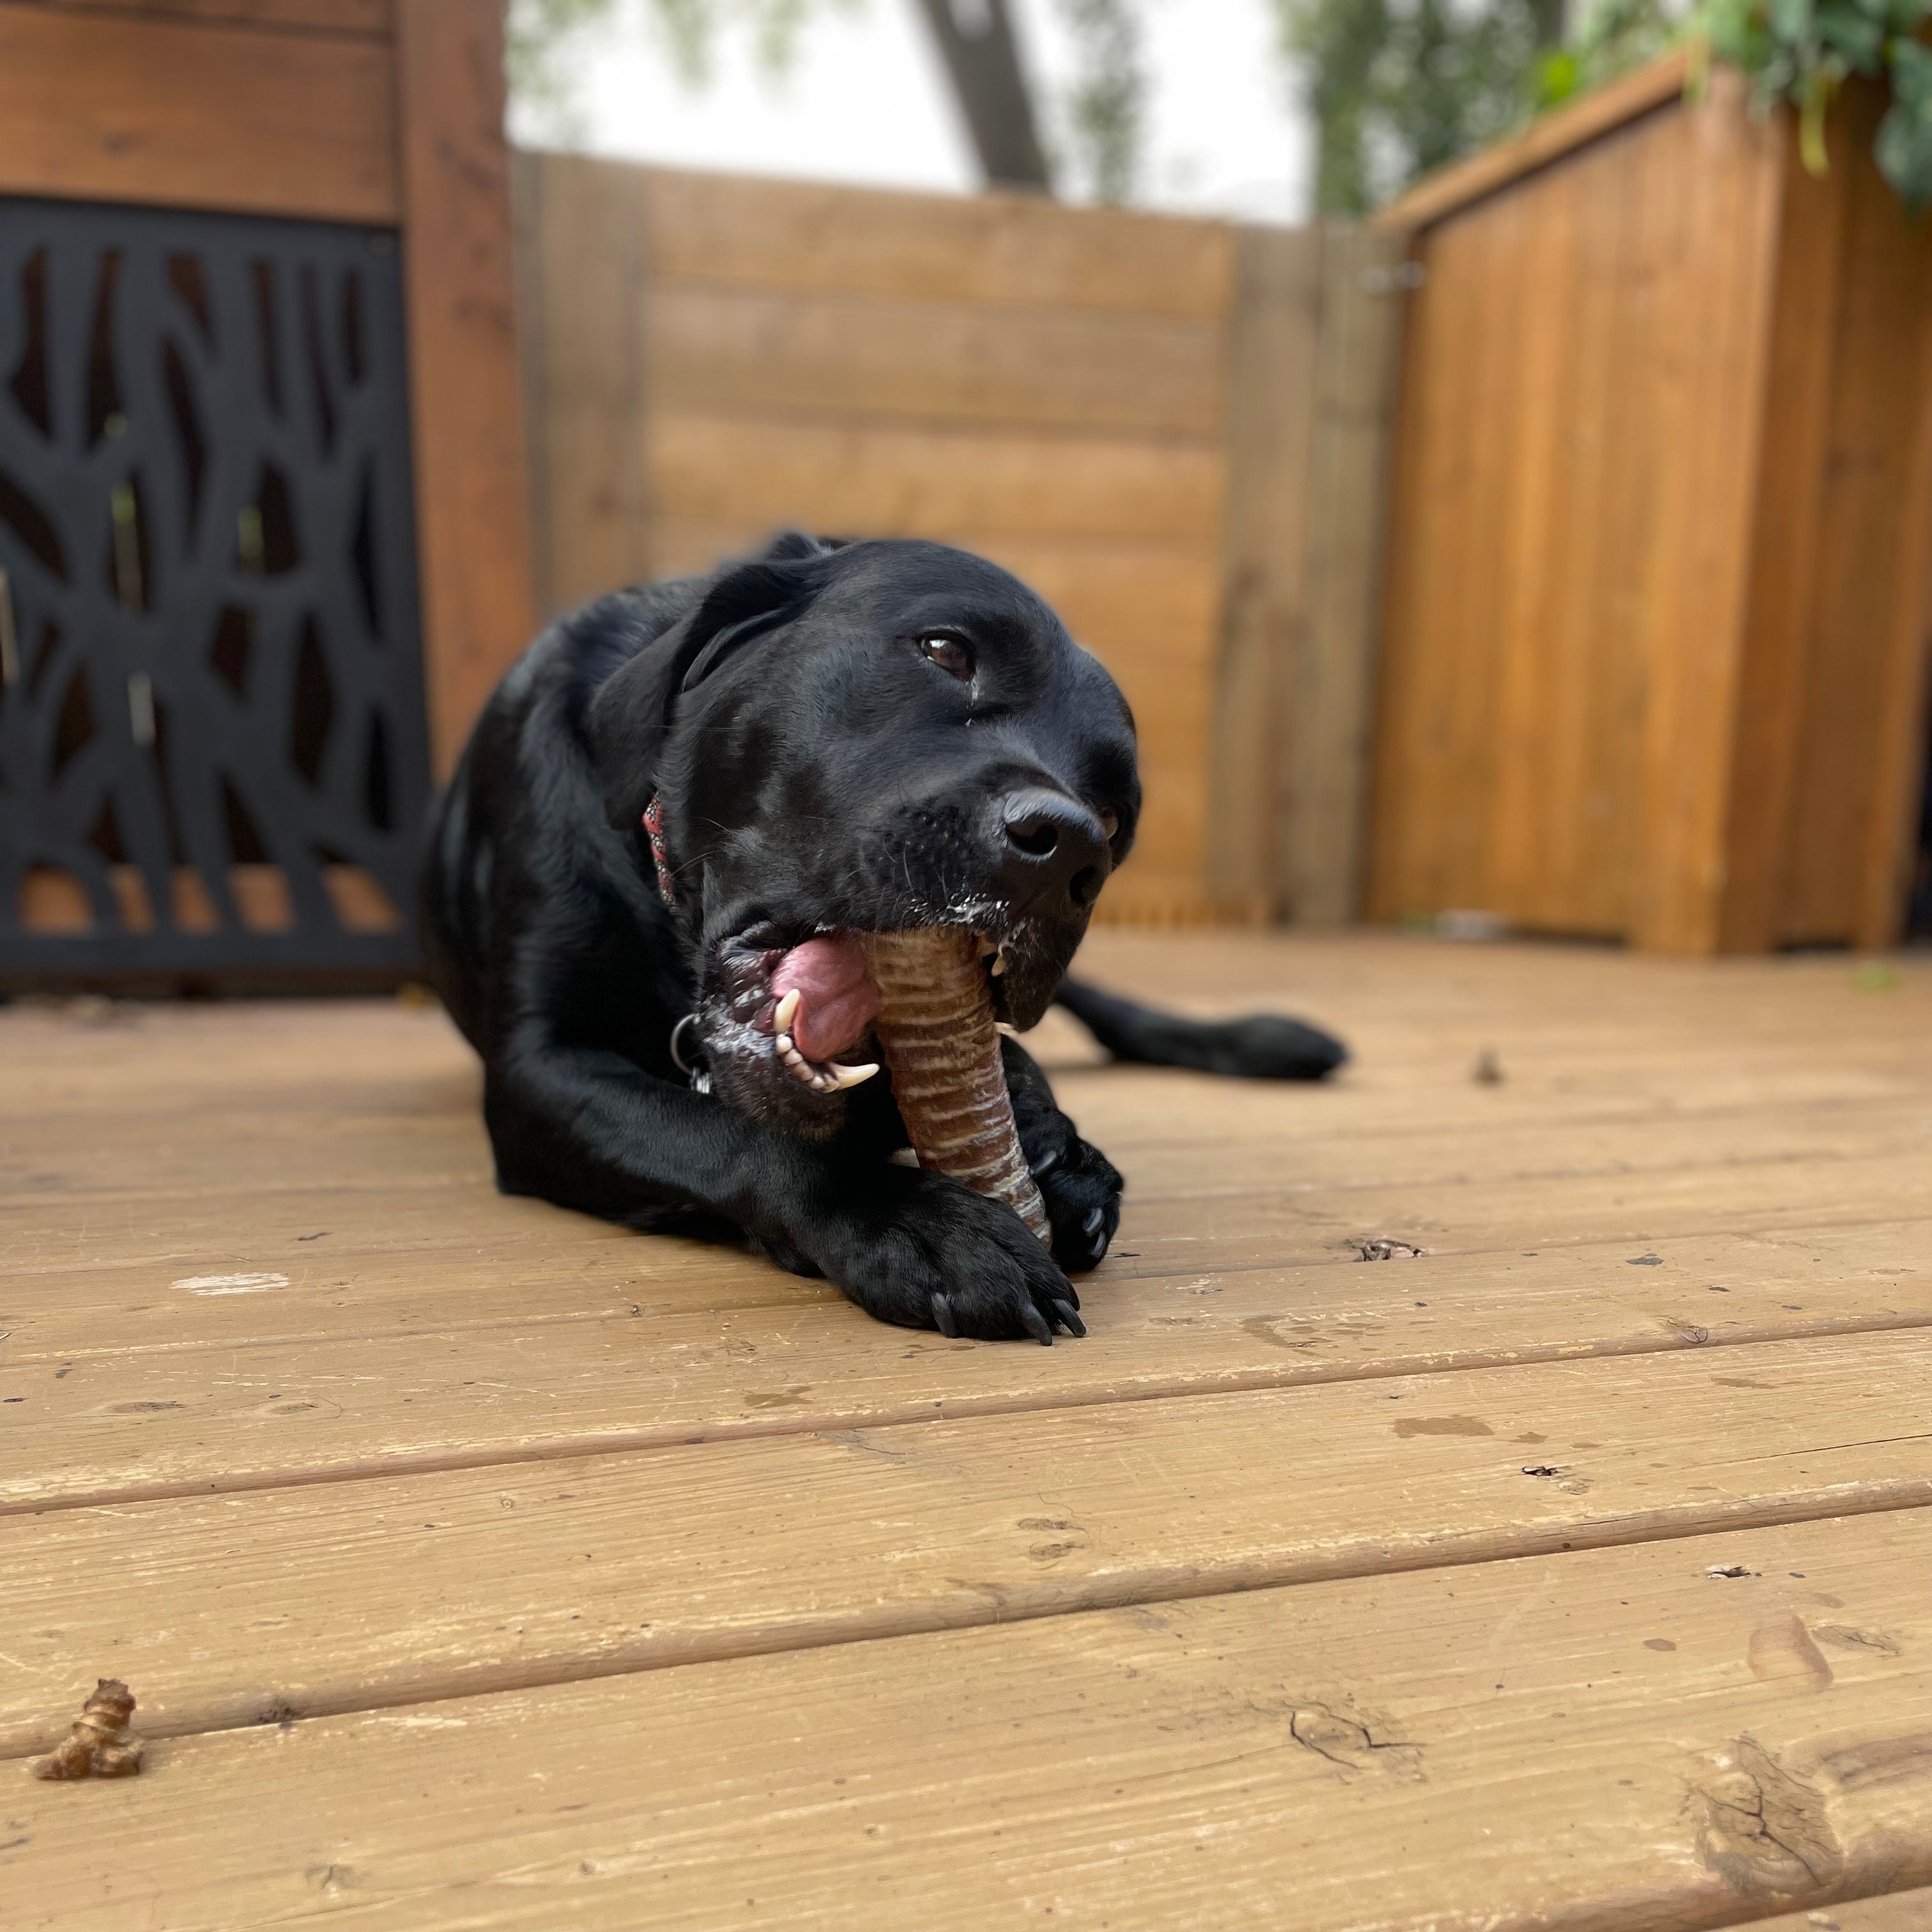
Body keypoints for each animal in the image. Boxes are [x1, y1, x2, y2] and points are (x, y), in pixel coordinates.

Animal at [419, 533, 1344, 1344]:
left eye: (1117, 817)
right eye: (944, 651)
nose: (1071, 850)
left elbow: (1011, 1059)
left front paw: (1057, 1141)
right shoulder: (540, 1070)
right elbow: (723, 1131)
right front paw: (914, 1220)